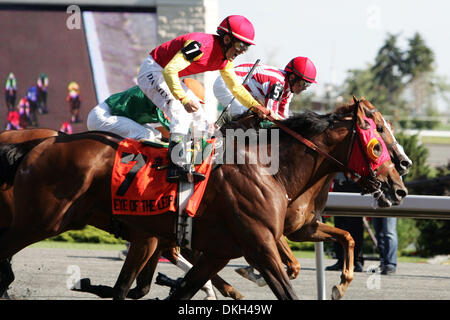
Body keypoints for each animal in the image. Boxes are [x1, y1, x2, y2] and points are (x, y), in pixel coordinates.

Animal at [0, 98, 408, 300]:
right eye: (377, 137)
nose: (399, 183)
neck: (269, 168)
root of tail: (38, 144)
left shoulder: (221, 249)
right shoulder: (261, 244)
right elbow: (287, 276)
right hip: (42, 219)